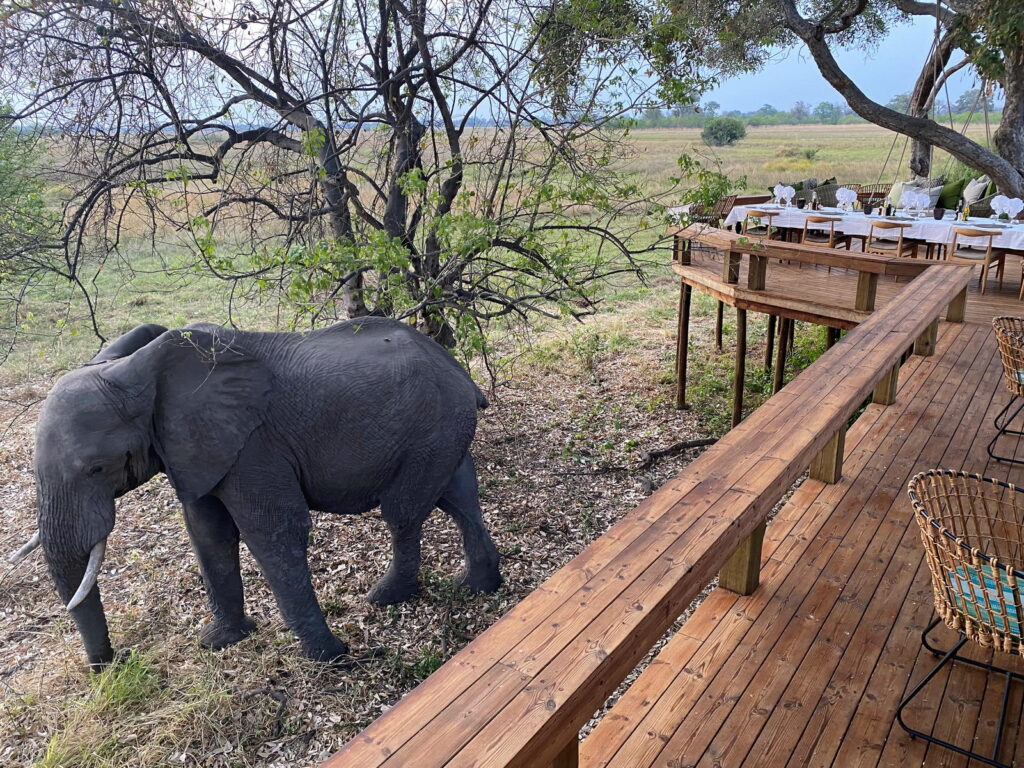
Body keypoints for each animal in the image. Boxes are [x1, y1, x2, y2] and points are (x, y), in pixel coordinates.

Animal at [9, 315, 499, 671]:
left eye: (96, 468)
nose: (115, 661)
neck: (139, 373)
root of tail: (458, 369)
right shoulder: (197, 450)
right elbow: (208, 534)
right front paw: (219, 643)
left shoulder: (253, 446)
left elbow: (275, 533)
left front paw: (331, 658)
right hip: (440, 430)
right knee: (458, 494)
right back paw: (479, 586)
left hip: (429, 428)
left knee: (403, 512)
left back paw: (385, 597)